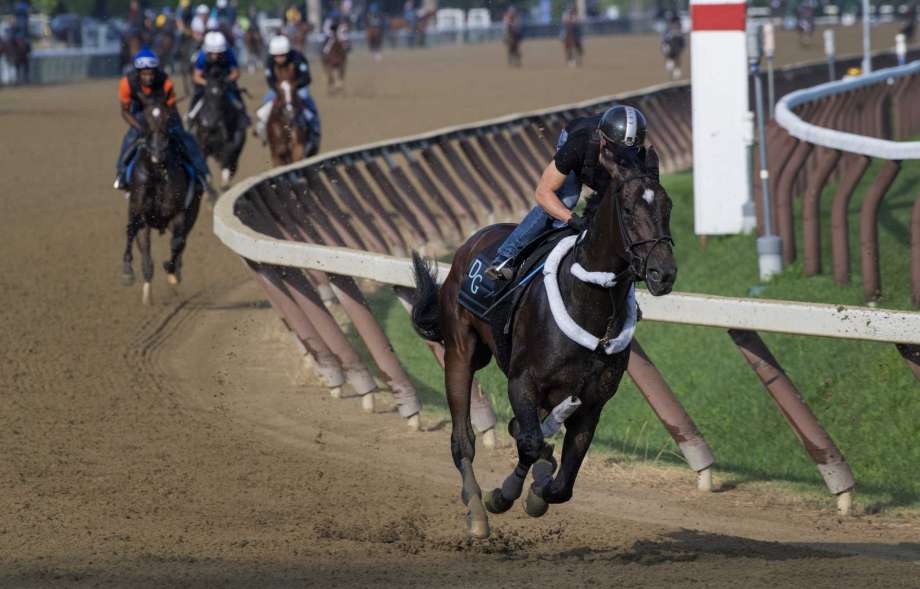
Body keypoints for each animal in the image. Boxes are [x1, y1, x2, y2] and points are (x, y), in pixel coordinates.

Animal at [121, 95, 203, 305]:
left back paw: (175, 271)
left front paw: (171, 269)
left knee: (181, 241)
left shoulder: (179, 213)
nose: (158, 154)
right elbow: (133, 234)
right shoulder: (139, 212)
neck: (158, 173)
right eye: (145, 119)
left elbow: (177, 243)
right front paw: (128, 273)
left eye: (168, 118)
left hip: (191, 213)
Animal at [410, 147, 676, 539]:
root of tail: (471, 242)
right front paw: (503, 495)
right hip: (460, 353)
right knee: (463, 441)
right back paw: (476, 510)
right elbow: (530, 443)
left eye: (667, 206)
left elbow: (562, 482)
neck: (589, 303)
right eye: (628, 209)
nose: (663, 273)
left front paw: (538, 491)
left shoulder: (592, 402)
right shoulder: (522, 383)